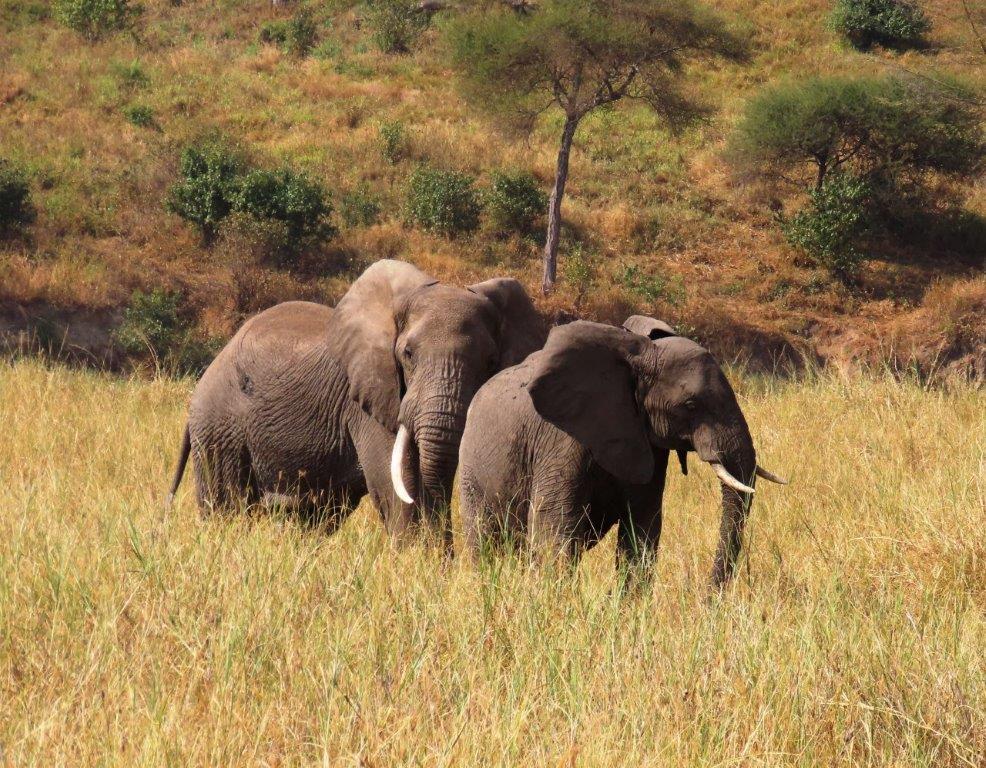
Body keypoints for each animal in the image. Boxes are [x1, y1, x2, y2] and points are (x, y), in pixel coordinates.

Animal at [167, 259, 546, 547]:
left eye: (491, 360)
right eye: (408, 354)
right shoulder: (368, 401)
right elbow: (396, 489)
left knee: (314, 514)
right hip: (219, 425)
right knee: (225, 505)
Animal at [457, 316, 786, 586]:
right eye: (691, 405)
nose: (707, 597)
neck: (638, 356)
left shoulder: (647, 441)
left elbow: (642, 529)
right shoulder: (559, 440)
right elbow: (556, 528)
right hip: (471, 469)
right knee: (485, 542)